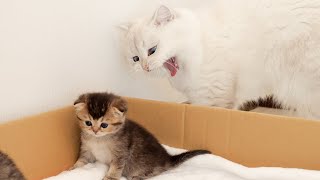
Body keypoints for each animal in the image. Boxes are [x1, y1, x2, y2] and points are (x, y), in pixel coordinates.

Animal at [72, 93, 210, 180]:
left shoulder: (121, 154)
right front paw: (73, 169)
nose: (95, 131)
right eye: (88, 123)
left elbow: (116, 168)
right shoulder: (87, 150)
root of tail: (167, 158)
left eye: (104, 125)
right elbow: (82, 160)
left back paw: (137, 177)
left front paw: (110, 178)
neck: (98, 140)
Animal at [119, 1, 320, 121]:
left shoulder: (215, 97)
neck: (199, 44)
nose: (145, 67)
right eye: (135, 59)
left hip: (304, 93)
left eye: (152, 50)